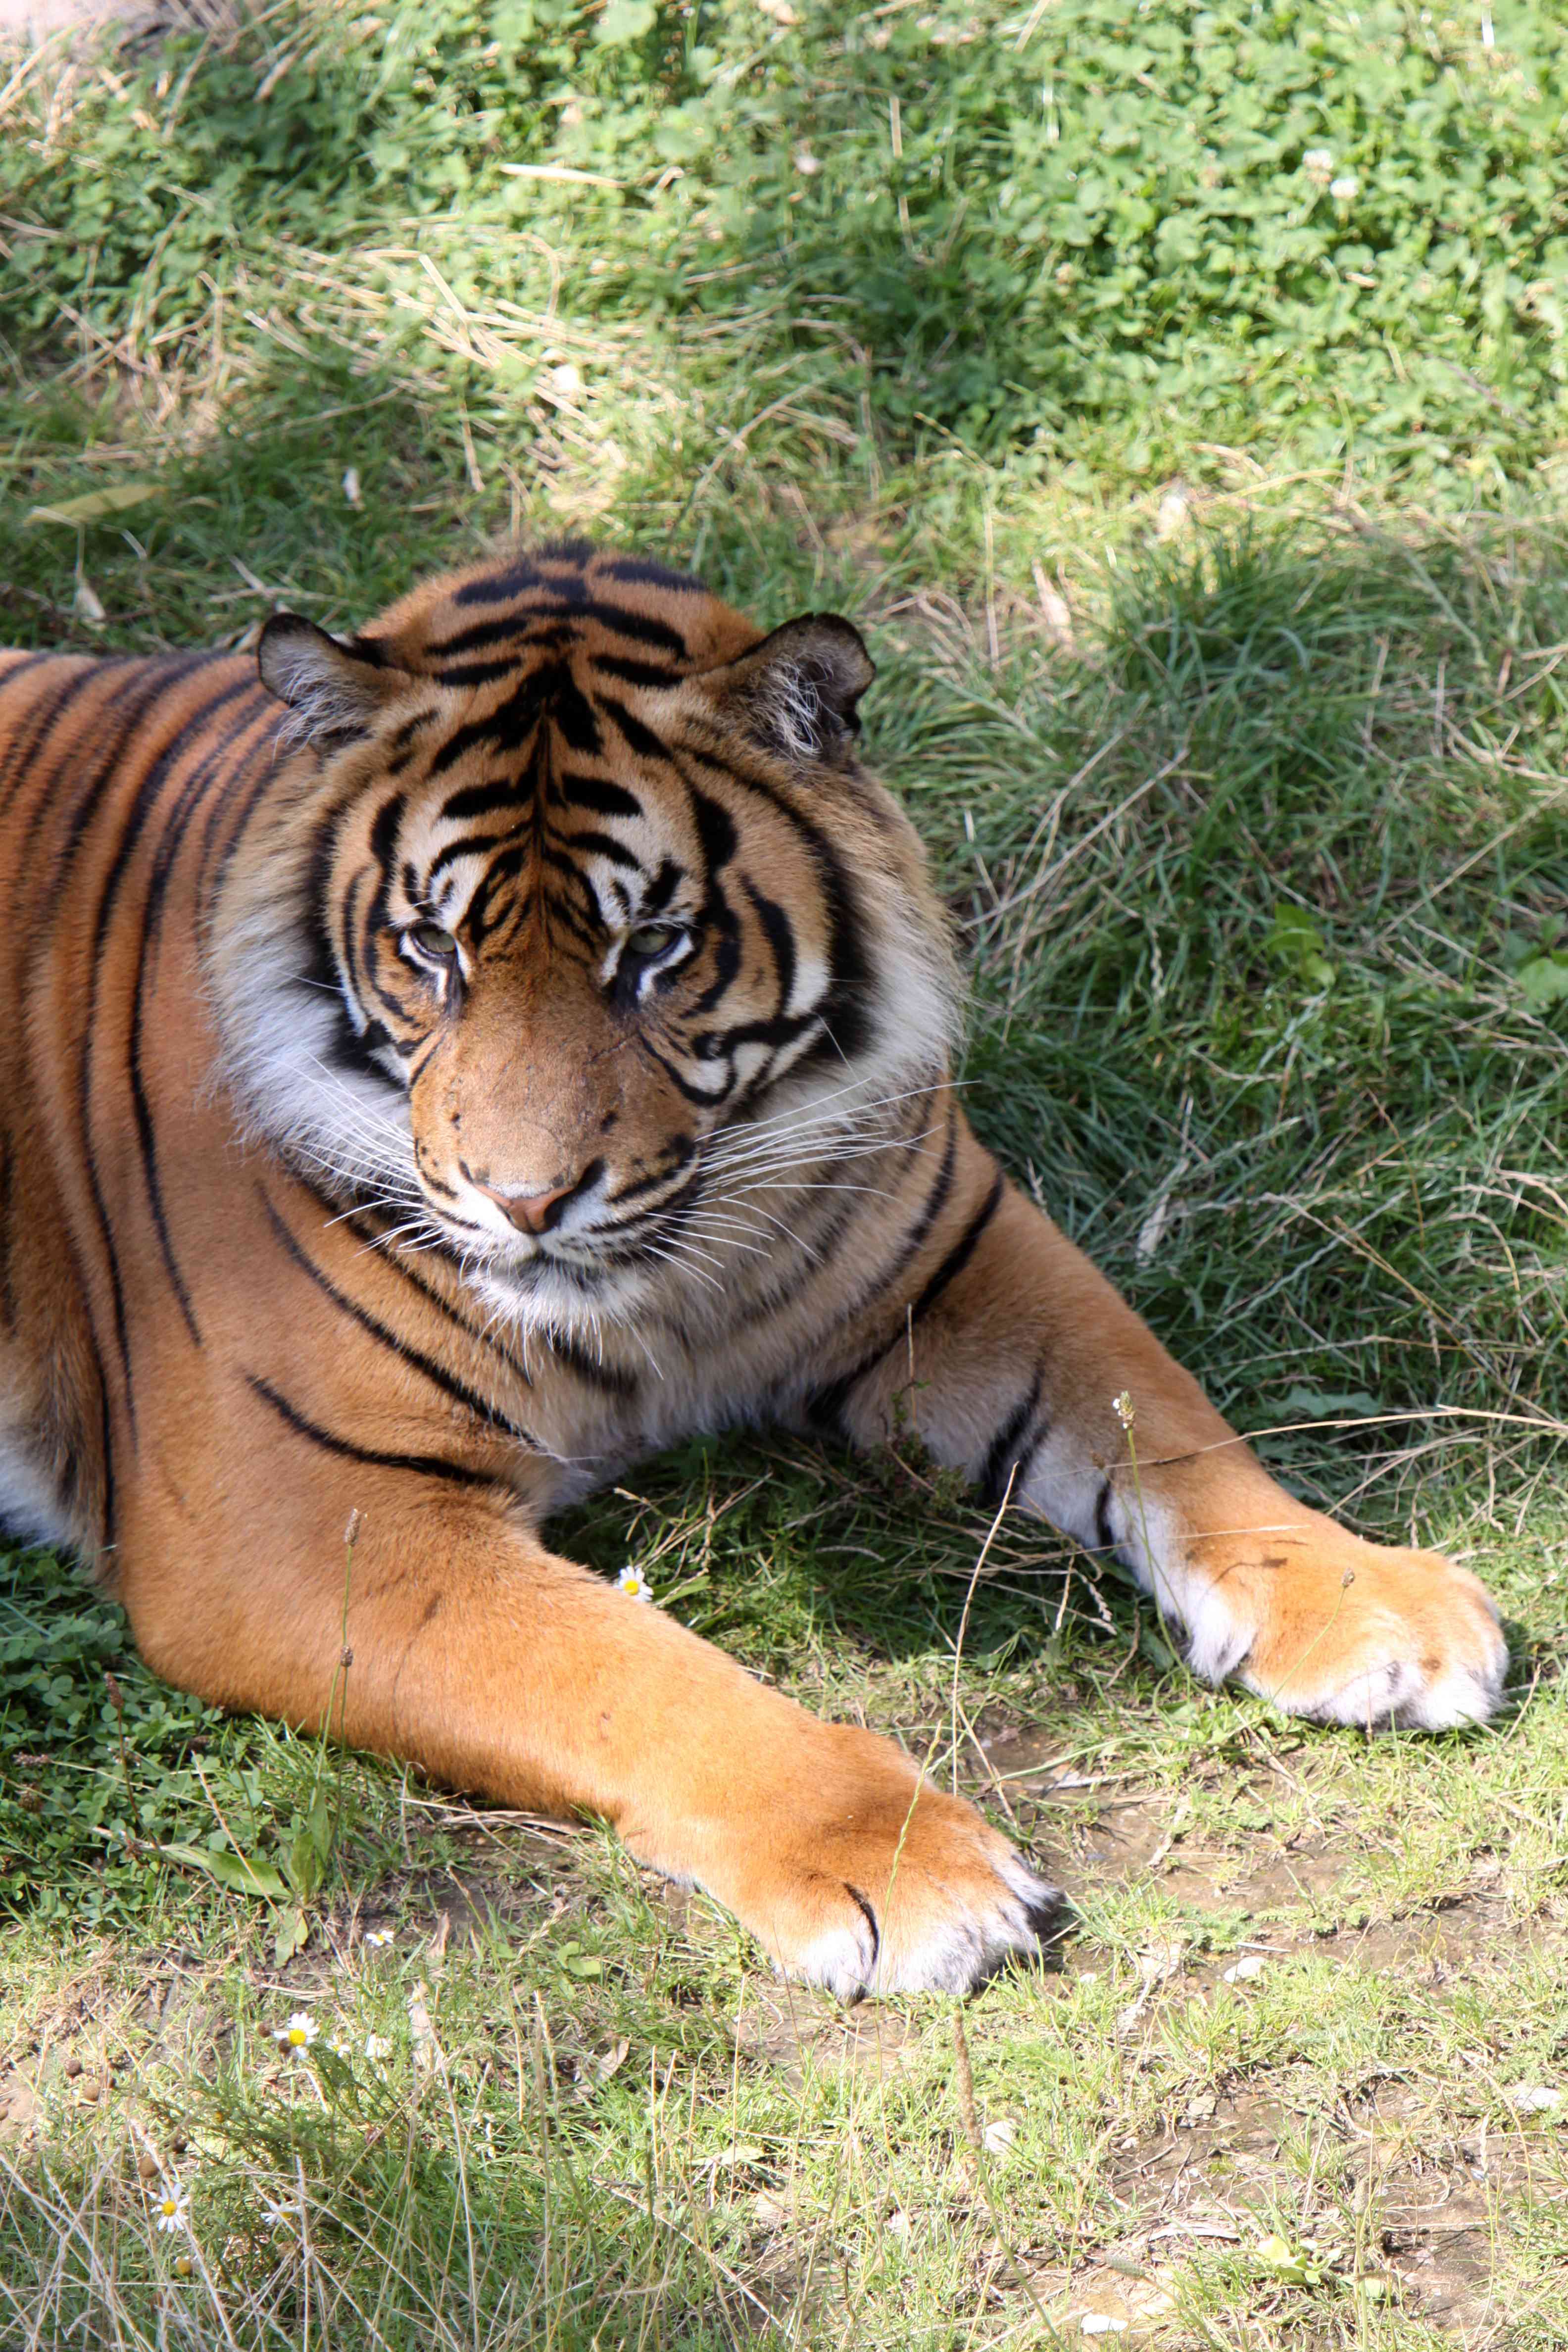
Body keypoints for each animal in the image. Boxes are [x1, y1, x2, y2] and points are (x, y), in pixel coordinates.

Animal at [0, 541, 1506, 1995]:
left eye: (654, 948)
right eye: (432, 948)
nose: (525, 1198)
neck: (668, 1292)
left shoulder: (952, 1246)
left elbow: (1166, 1414)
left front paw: (1368, 1598)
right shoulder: (299, 1515)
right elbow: (626, 1666)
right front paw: (899, 1865)